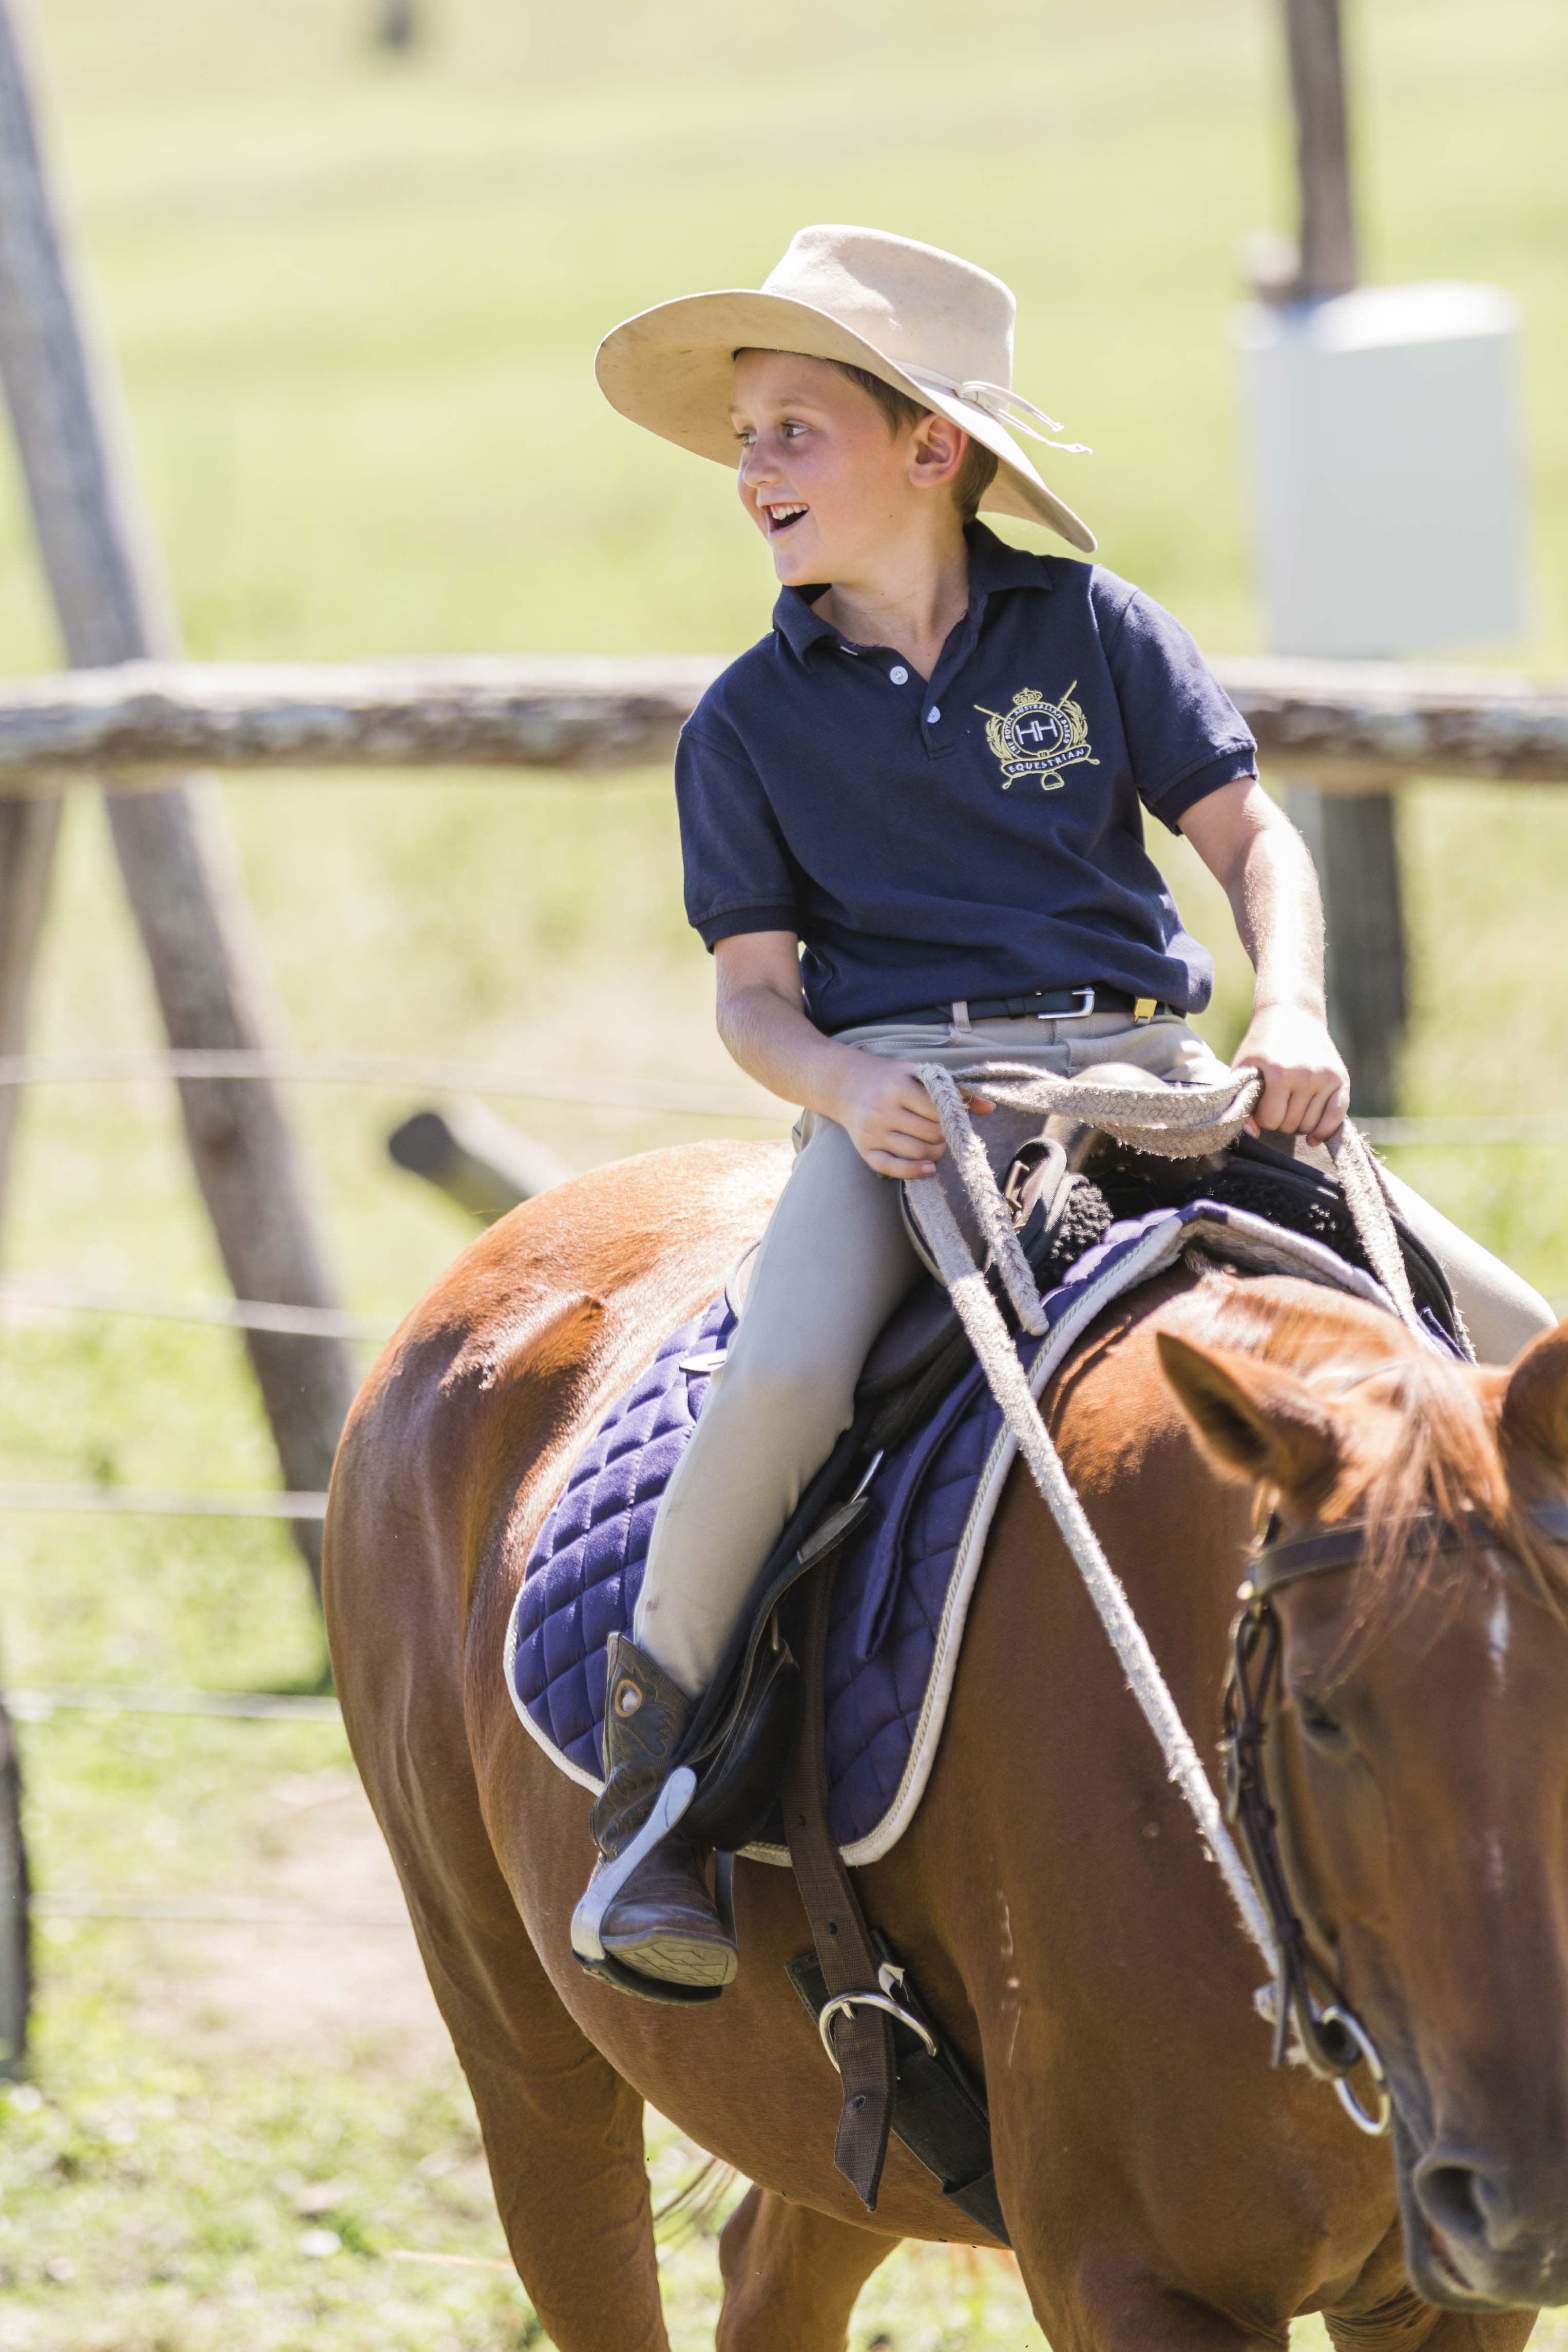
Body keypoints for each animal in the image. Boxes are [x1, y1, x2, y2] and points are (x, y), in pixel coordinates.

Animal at [322, 1129, 1568, 2342]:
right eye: (1318, 1713)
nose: (1527, 2193)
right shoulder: (1126, 2278)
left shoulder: (1434, 2302)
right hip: (521, 2044)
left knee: (766, 2280)